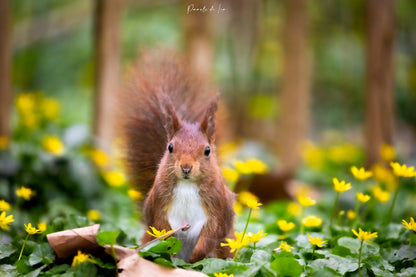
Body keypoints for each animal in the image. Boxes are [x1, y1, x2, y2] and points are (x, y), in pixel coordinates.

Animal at [118, 51, 236, 260]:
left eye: (207, 150)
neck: (187, 185)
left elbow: (213, 231)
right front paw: (169, 244)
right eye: (170, 147)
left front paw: (195, 256)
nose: (186, 167)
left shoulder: (217, 205)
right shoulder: (159, 201)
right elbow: (160, 225)